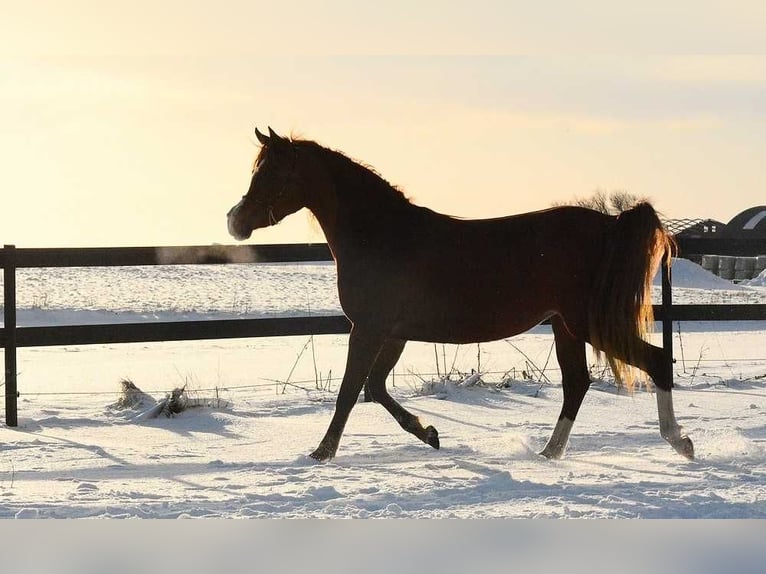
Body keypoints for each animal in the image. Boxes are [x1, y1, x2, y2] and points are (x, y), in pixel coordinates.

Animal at [226, 127, 696, 464]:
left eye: (271, 173)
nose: (235, 220)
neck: (380, 235)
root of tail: (610, 224)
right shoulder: (393, 333)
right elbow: (374, 388)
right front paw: (430, 434)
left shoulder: (370, 328)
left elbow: (350, 391)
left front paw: (321, 454)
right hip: (565, 325)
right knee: (577, 383)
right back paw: (549, 453)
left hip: (586, 322)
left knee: (654, 360)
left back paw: (680, 442)